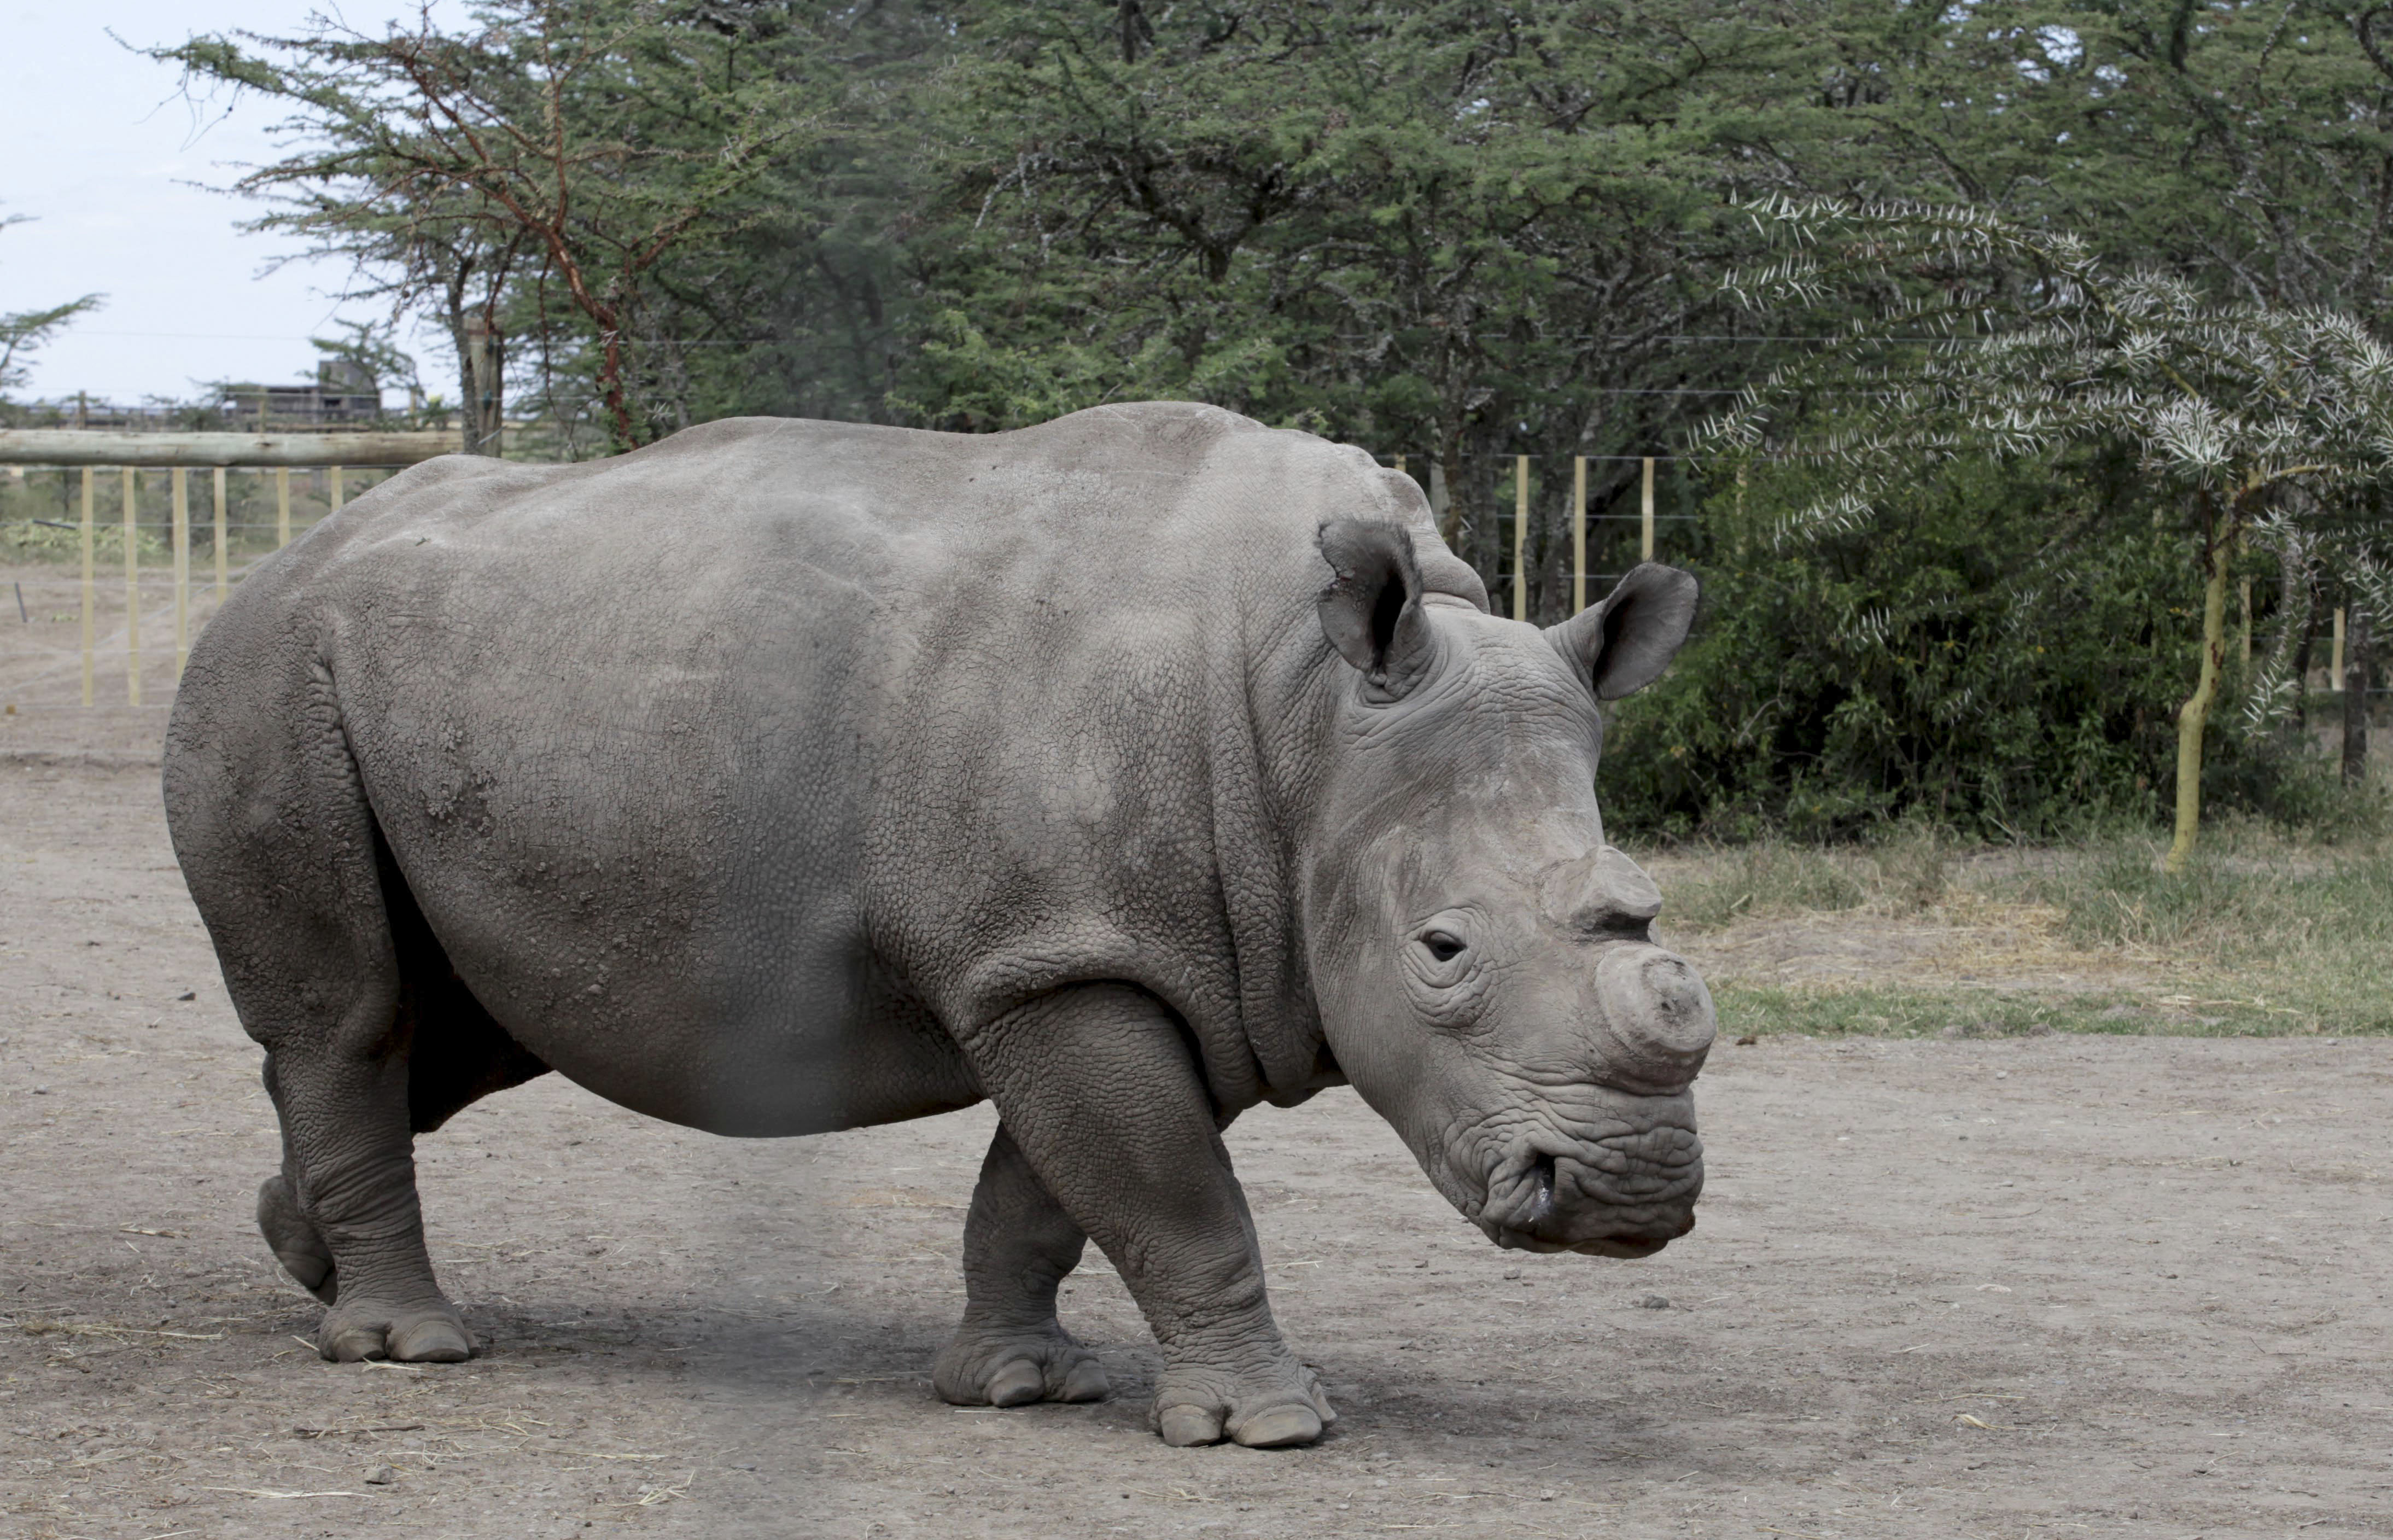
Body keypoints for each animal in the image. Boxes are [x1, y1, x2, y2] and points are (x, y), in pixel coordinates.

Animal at [159, 404, 1713, 1454]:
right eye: (1441, 954)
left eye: (1645, 909)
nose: (1629, 1197)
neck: (1310, 715)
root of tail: (286, 554)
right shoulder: (1065, 954)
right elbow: (1172, 1189)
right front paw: (1270, 1427)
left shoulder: (1125, 954)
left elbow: (1055, 1190)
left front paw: (1023, 1385)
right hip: (272, 670)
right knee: (353, 1017)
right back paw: (409, 1349)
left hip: (471, 684)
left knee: (464, 1028)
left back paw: (300, 1254)